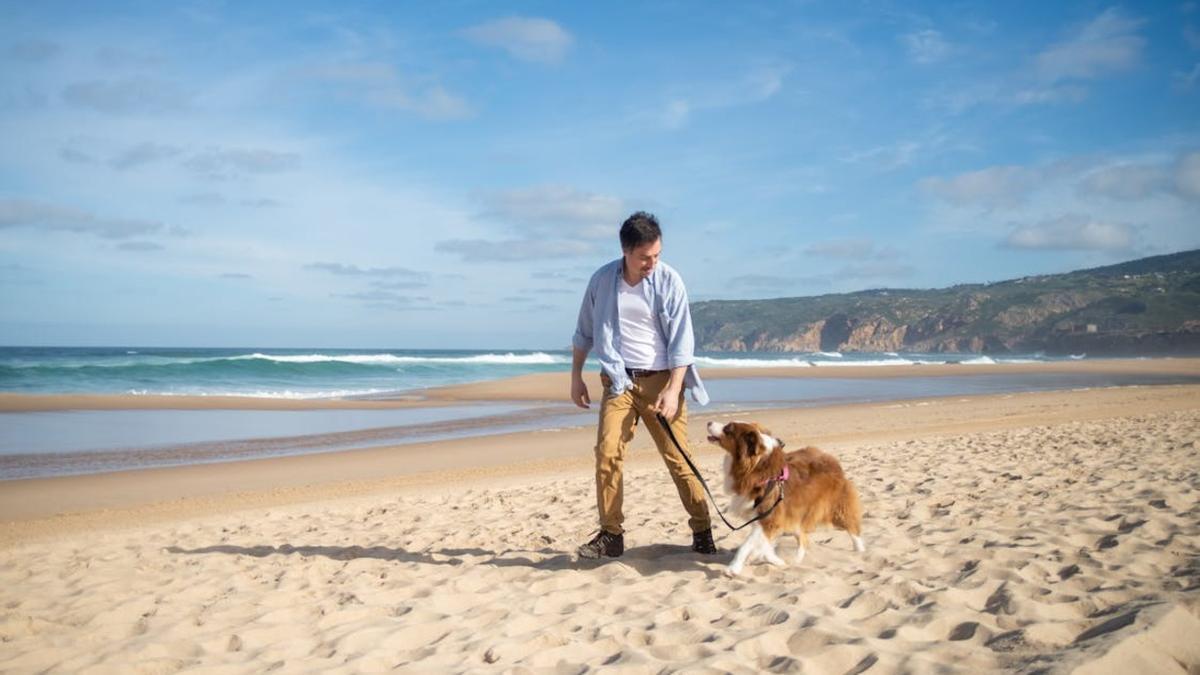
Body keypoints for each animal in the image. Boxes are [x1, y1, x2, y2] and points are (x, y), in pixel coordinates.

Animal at [700, 420, 864, 571]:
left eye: (728, 428)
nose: (708, 422)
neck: (757, 468)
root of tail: (832, 460)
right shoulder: (765, 518)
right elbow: (764, 548)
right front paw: (775, 561)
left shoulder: (769, 518)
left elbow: (746, 545)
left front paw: (733, 568)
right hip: (797, 515)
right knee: (802, 538)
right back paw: (796, 560)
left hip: (835, 507)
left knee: (852, 528)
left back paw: (859, 551)